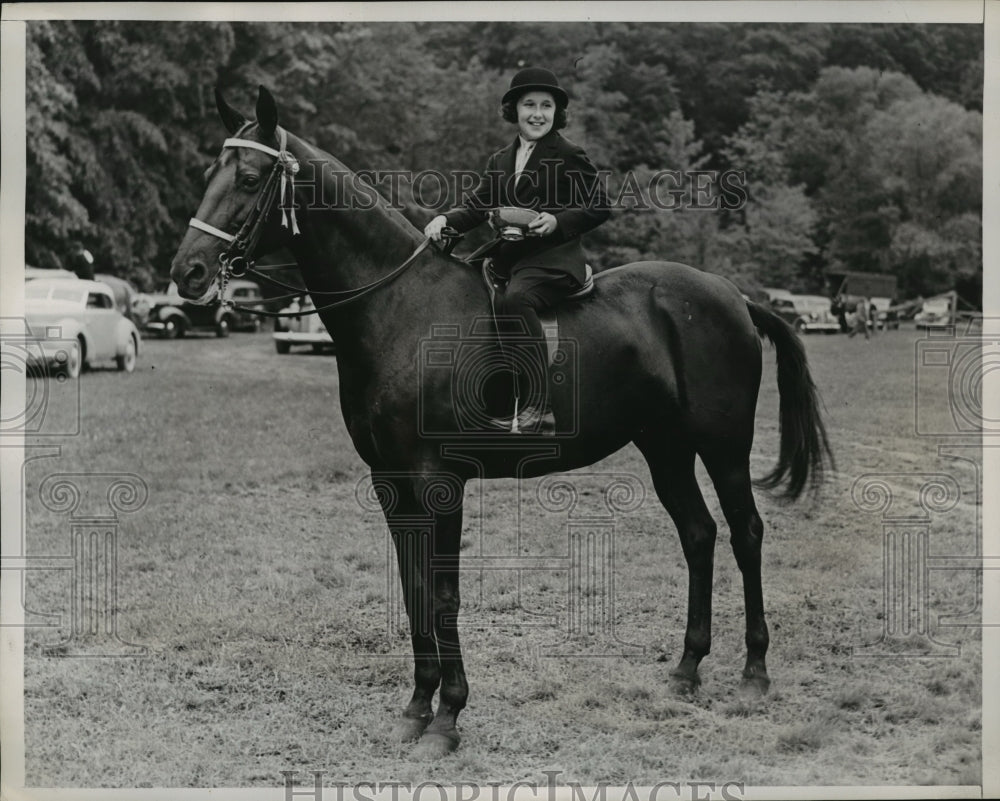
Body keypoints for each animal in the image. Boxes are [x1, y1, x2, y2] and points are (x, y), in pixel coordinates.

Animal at [174, 87, 836, 756]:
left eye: (250, 178)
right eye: (207, 175)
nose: (189, 273)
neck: (399, 309)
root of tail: (733, 296)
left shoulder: (437, 482)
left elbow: (444, 592)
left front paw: (448, 717)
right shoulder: (391, 482)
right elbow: (414, 589)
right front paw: (416, 707)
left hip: (723, 445)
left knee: (746, 532)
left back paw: (754, 673)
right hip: (665, 448)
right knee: (699, 534)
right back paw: (686, 669)